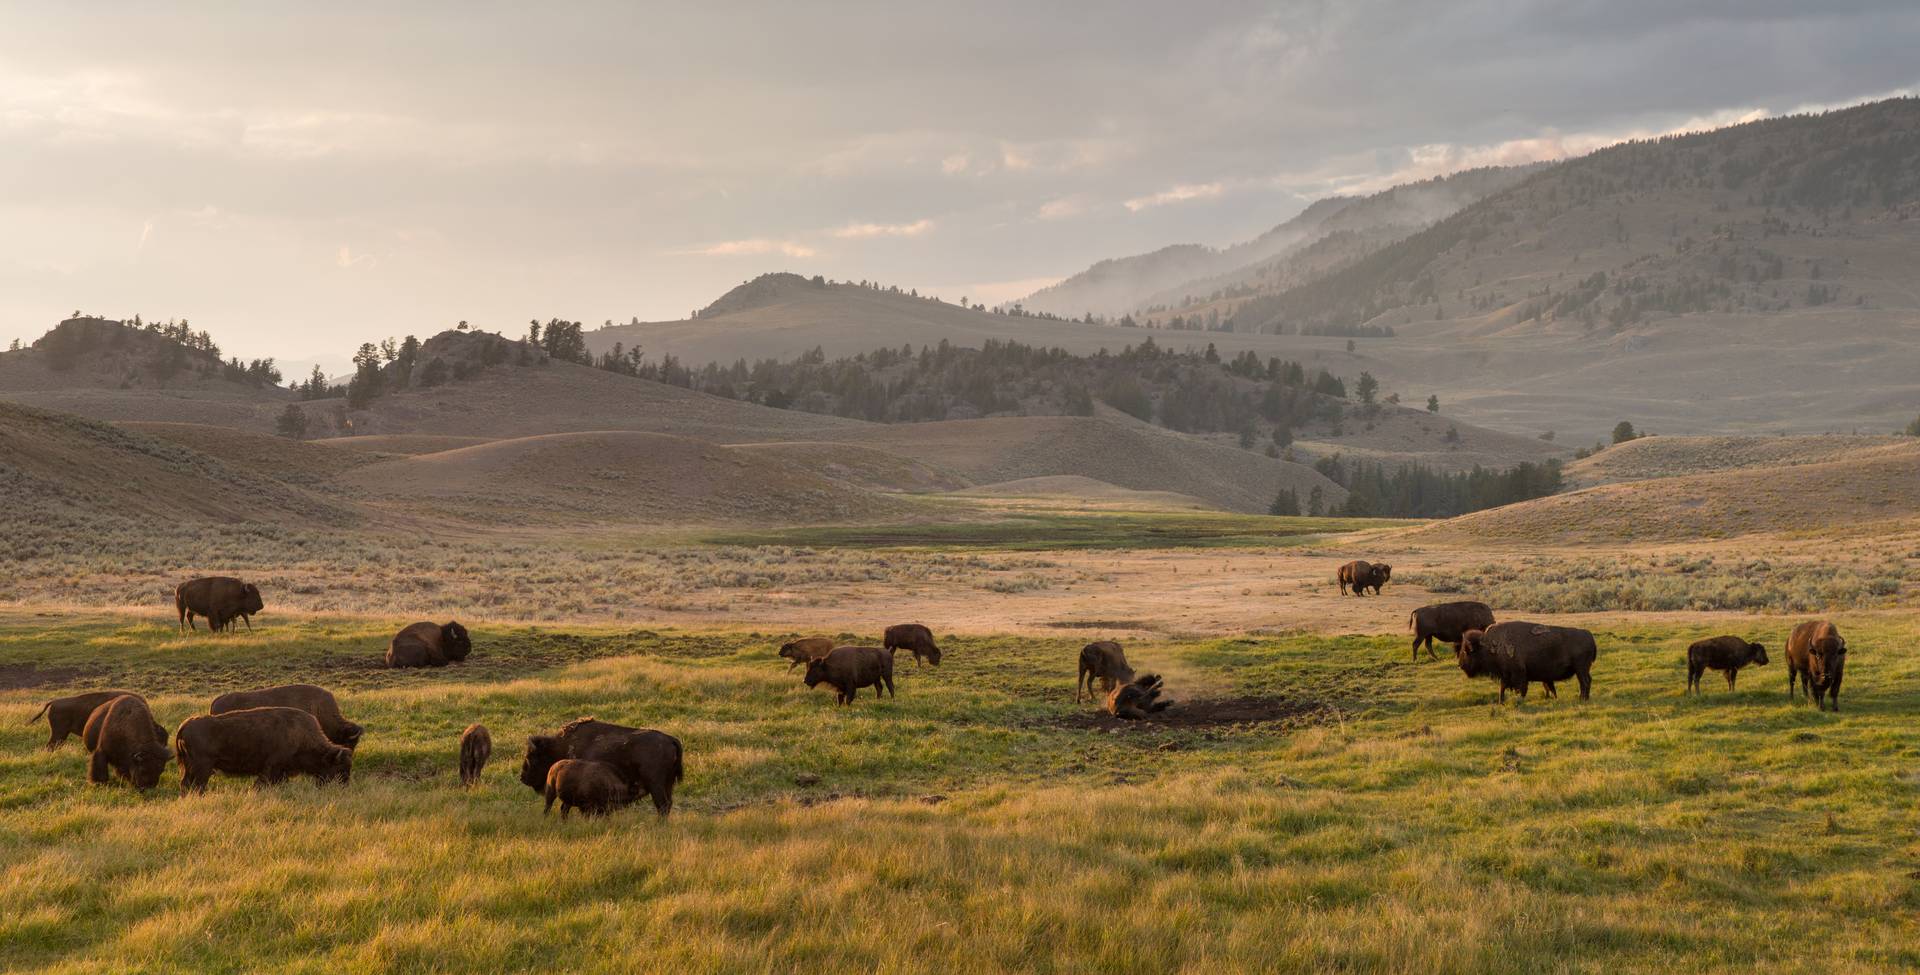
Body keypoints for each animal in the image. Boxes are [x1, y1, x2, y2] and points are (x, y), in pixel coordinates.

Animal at [175, 707, 353, 793]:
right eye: (339, 768)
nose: (343, 787)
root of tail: (185, 725)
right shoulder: (272, 768)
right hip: (202, 769)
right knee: (197, 786)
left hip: (191, 769)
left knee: (186, 784)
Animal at [1457, 622, 1597, 704]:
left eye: (1466, 651)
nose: (1460, 665)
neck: (1490, 645)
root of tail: (1589, 635)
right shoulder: (1506, 674)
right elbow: (1502, 687)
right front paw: (1501, 702)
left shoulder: (1518, 673)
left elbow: (1521, 688)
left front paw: (1519, 700)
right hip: (1582, 669)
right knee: (1587, 681)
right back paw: (1584, 698)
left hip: (1581, 669)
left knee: (1584, 682)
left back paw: (1582, 699)